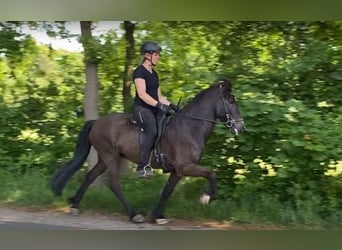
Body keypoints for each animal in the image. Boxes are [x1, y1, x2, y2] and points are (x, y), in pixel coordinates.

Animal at [49, 78, 244, 225]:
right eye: (230, 101)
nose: (241, 127)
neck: (190, 127)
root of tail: (95, 122)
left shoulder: (177, 171)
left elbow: (167, 191)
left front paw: (157, 216)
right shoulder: (186, 167)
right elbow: (211, 173)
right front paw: (207, 197)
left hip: (105, 158)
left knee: (90, 176)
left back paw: (75, 204)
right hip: (110, 156)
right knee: (114, 184)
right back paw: (134, 214)